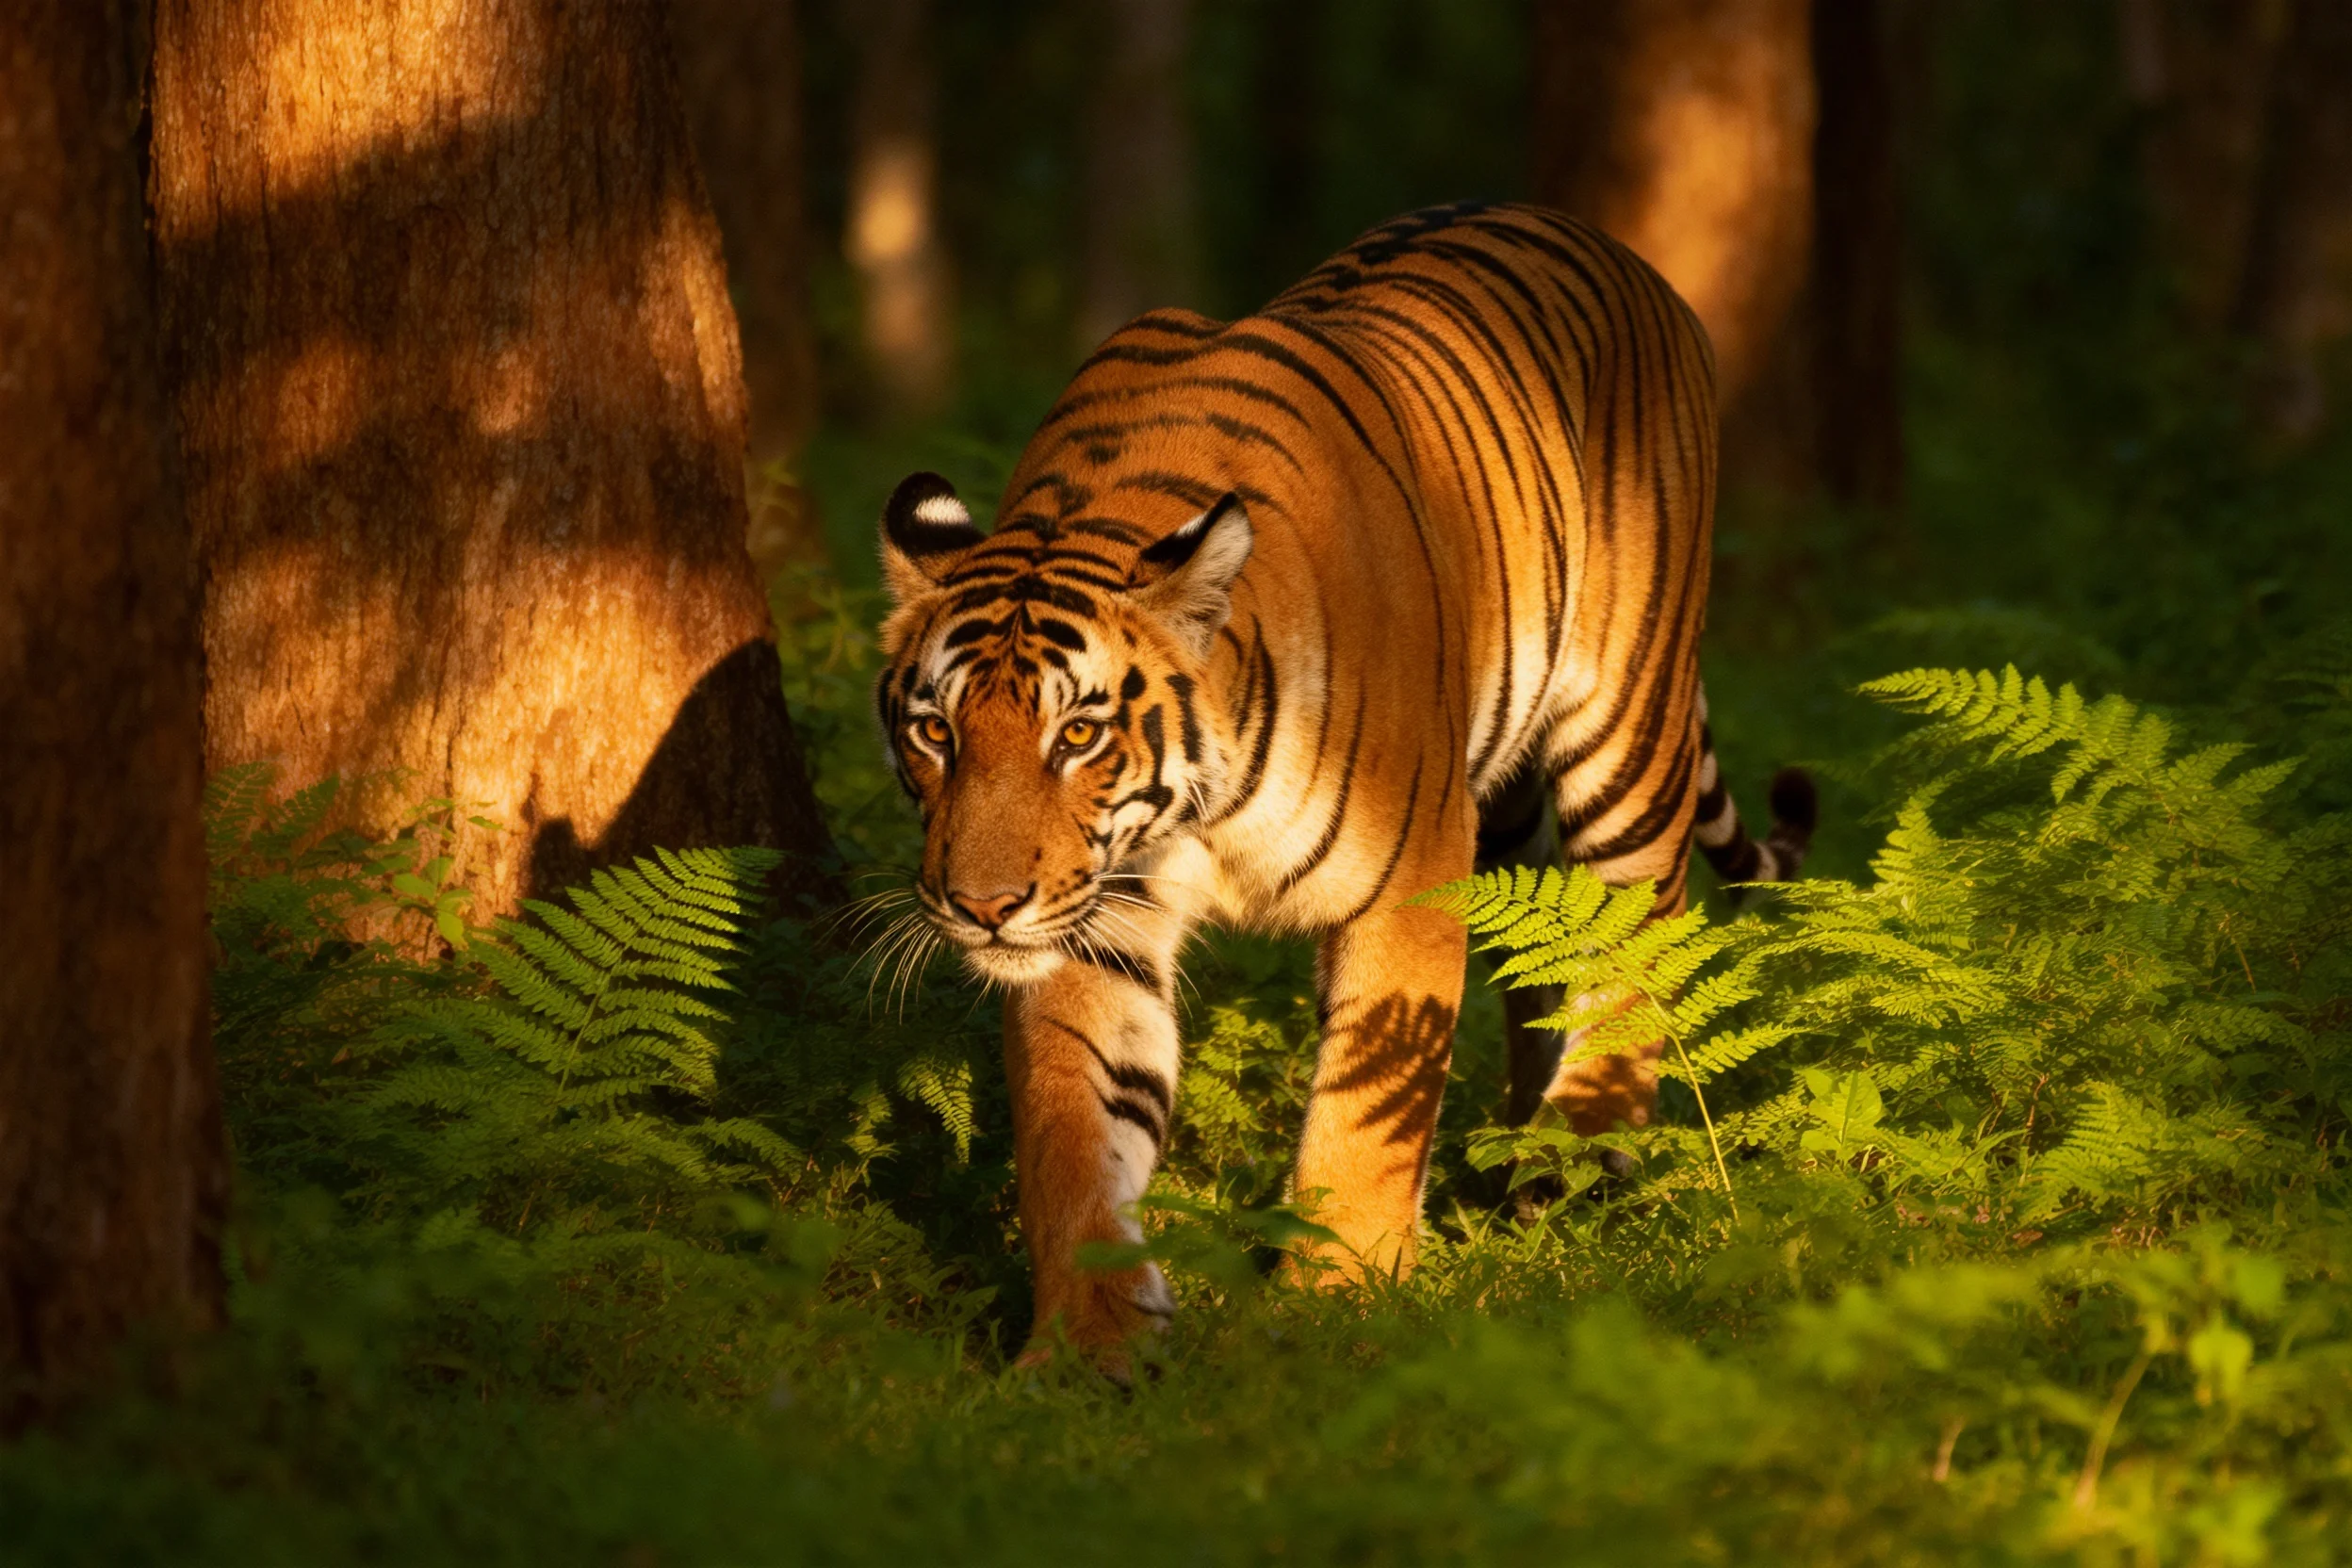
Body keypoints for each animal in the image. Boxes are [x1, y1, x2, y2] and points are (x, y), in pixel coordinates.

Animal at [872, 202, 1813, 1371]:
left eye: (1078, 734)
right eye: (936, 731)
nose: (981, 907)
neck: (1196, 808)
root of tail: (1605, 246)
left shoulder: (1411, 873)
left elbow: (1367, 1112)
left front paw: (1339, 1305)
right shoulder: (1096, 919)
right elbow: (1074, 1128)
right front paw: (1088, 1346)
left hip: (1625, 720)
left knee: (1639, 924)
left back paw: (1577, 1155)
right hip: (1504, 808)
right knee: (1537, 960)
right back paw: (1515, 1150)